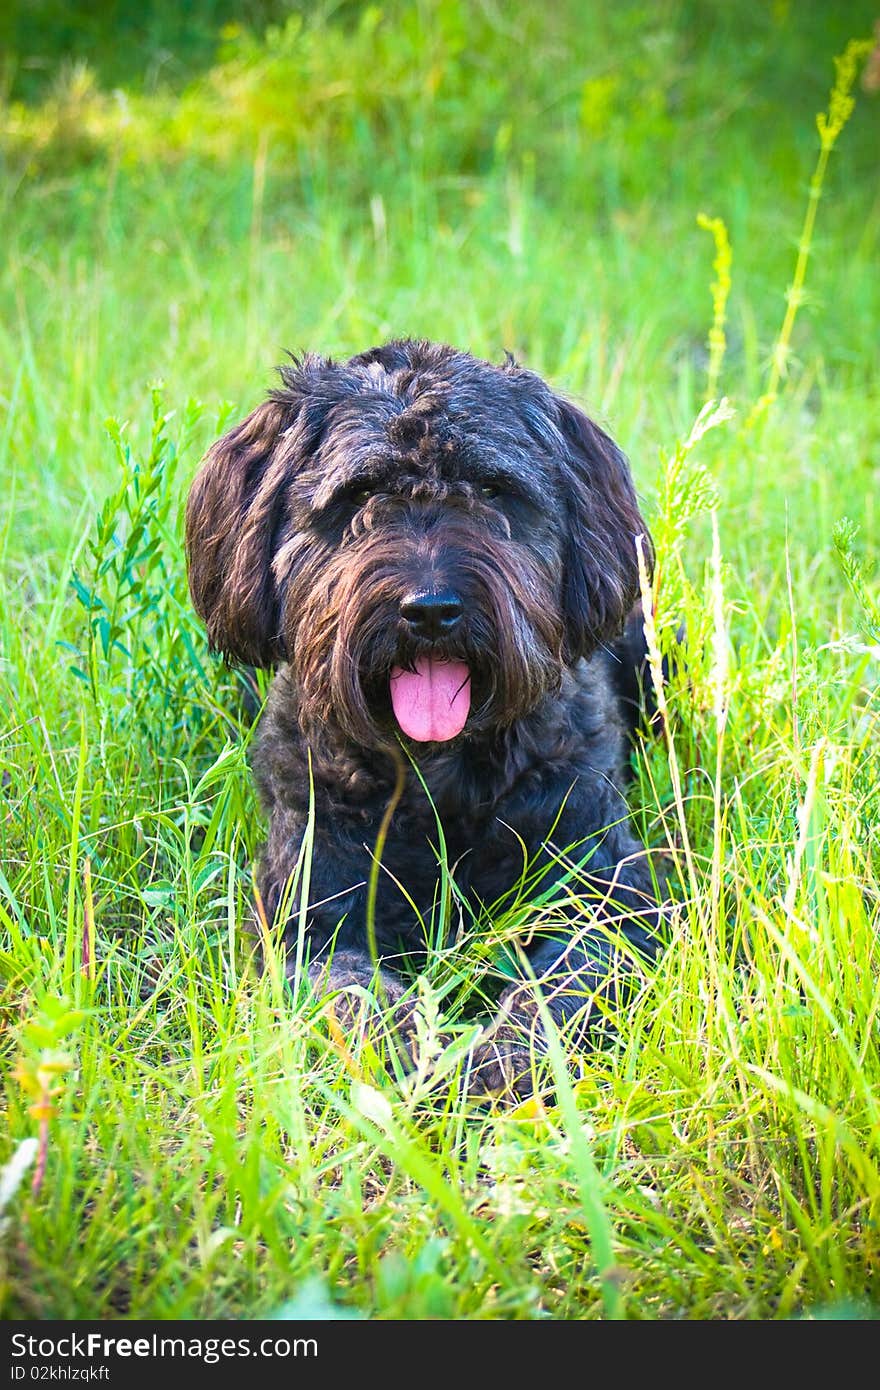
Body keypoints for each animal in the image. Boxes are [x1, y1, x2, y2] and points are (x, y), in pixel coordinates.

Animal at [187, 339, 664, 1095]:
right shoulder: (313, 917)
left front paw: (505, 1061)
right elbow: (354, 998)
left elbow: (562, 985)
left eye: (493, 490)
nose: (432, 610)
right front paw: (415, 1056)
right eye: (359, 494)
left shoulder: (605, 895)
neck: (438, 772)